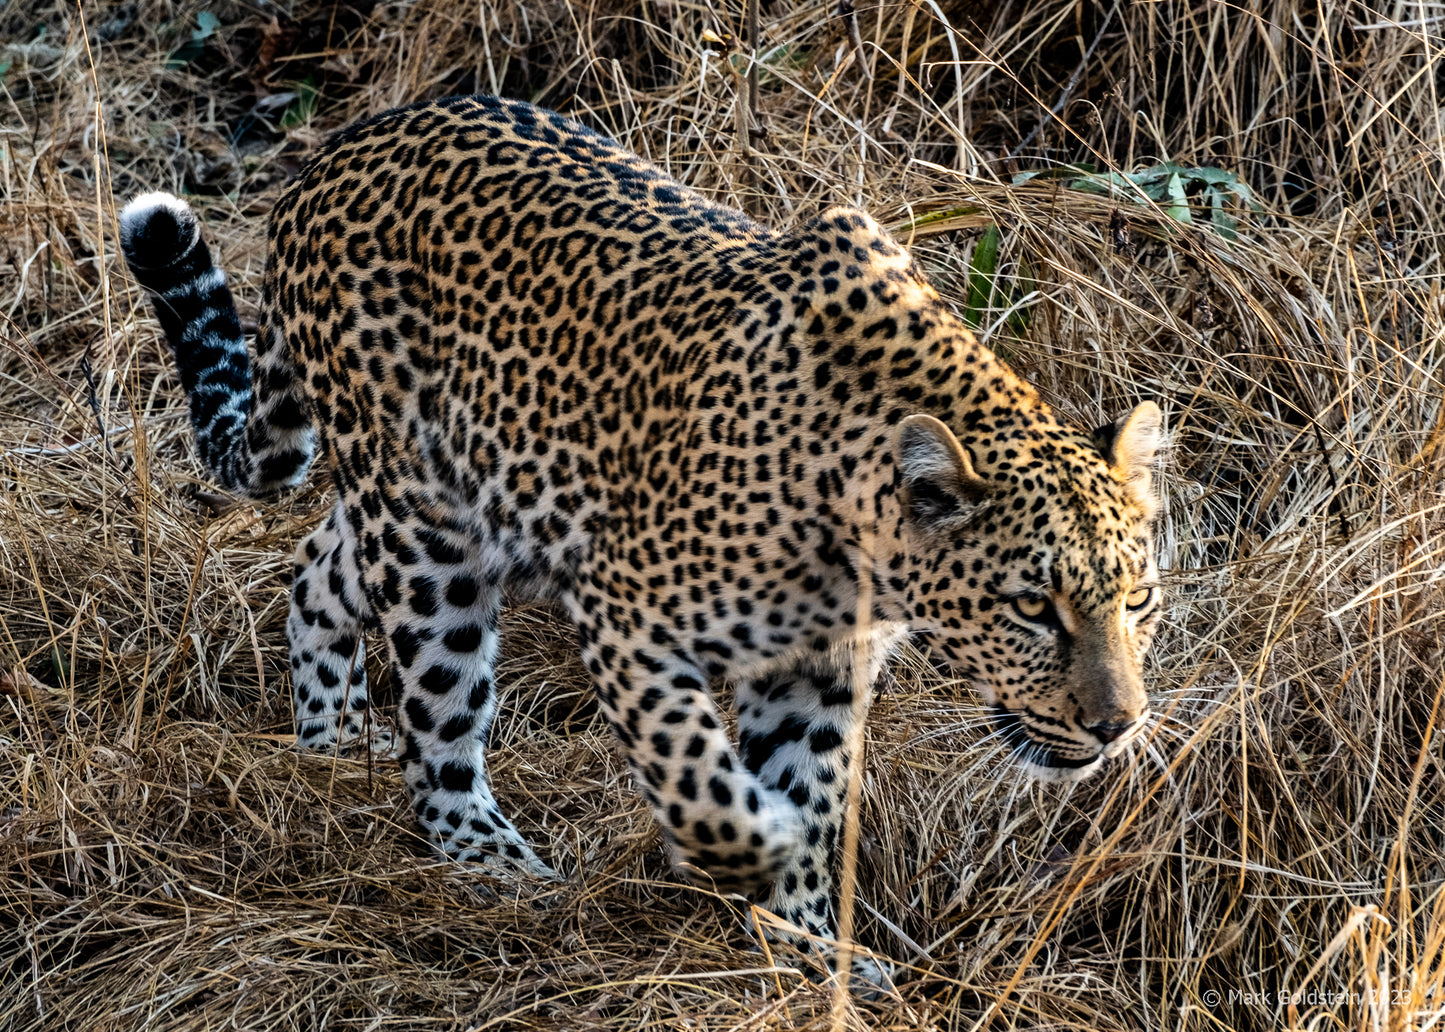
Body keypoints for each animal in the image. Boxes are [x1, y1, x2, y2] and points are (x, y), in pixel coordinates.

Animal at [121, 92, 1161, 982]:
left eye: (1138, 601)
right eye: (1031, 608)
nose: (1117, 727)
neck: (853, 531)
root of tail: (331, 156)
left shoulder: (821, 668)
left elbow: (809, 787)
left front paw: (807, 945)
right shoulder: (627, 614)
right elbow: (698, 772)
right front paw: (751, 855)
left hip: (432, 501)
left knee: (318, 570)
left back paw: (331, 740)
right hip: (430, 542)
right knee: (439, 716)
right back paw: (486, 853)